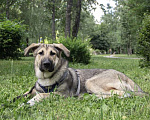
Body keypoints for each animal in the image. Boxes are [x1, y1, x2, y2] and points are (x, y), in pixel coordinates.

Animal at [12, 43, 148, 106]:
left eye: (52, 54)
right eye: (40, 53)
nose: (46, 64)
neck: (46, 79)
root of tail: (125, 76)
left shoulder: (62, 94)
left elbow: (41, 95)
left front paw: (29, 102)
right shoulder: (32, 91)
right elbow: (19, 96)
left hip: (90, 82)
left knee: (123, 94)